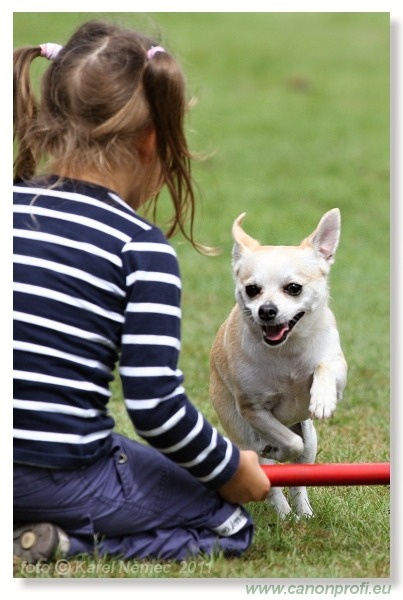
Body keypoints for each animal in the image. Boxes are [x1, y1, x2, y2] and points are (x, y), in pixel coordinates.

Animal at [211, 210, 348, 516]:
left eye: (294, 288)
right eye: (252, 290)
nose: (266, 310)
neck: (286, 352)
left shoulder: (337, 371)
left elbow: (324, 366)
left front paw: (322, 399)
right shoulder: (254, 409)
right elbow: (289, 443)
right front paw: (279, 448)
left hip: (311, 440)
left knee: (300, 477)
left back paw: (303, 514)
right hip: (246, 434)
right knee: (271, 475)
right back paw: (284, 514)